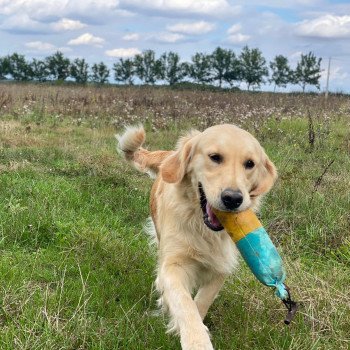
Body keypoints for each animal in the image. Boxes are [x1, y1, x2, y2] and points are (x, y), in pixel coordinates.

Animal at [117, 125, 276, 350]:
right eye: (215, 157)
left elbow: (202, 300)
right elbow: (184, 303)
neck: (203, 228)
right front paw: (196, 341)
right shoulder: (174, 264)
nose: (233, 199)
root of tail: (169, 154)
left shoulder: (221, 265)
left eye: (250, 164)